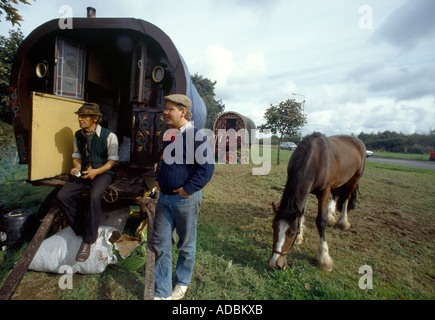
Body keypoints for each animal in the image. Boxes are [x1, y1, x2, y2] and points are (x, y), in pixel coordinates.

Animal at [270, 134, 366, 272]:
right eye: (274, 227)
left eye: (291, 233)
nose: (275, 263)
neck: (315, 159)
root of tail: (359, 142)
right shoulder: (307, 190)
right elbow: (301, 214)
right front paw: (300, 237)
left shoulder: (324, 191)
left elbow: (321, 221)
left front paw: (324, 258)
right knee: (336, 195)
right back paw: (332, 216)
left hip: (353, 179)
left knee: (346, 198)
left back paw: (343, 222)